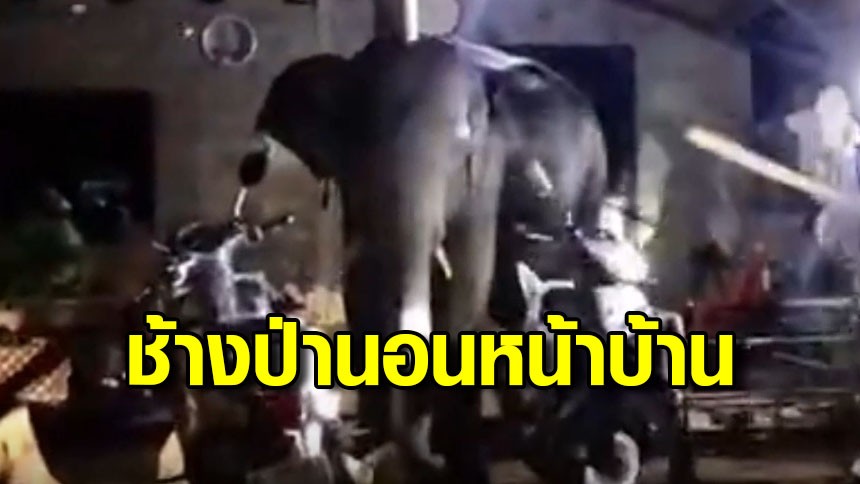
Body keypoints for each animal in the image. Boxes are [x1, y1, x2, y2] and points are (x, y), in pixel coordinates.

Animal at [249, 35, 608, 482]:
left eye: (463, 144)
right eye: (359, 137)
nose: (346, 442)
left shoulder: (486, 173)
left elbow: (466, 292)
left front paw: (453, 459)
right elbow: (364, 286)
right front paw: (371, 444)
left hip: (588, 189)